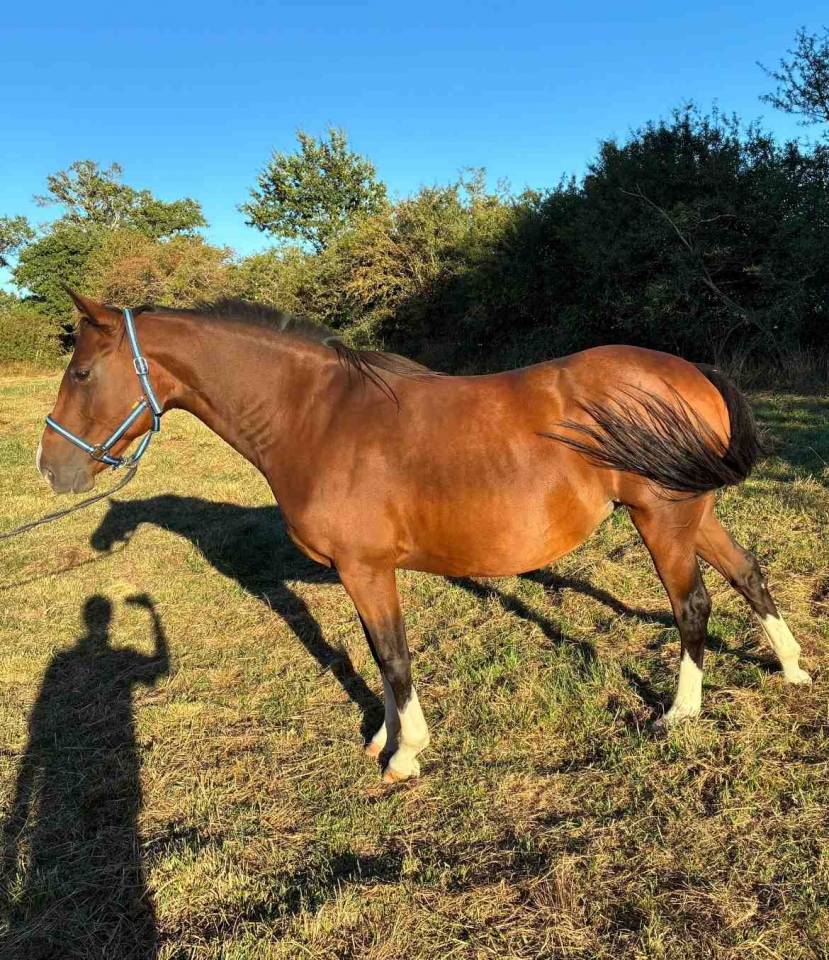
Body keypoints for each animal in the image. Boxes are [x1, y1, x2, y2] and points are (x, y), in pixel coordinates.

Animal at [36, 289, 811, 782]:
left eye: (82, 372)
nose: (51, 468)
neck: (320, 418)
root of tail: (687, 371)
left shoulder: (366, 568)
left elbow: (392, 656)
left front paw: (404, 754)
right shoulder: (361, 573)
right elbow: (379, 661)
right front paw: (381, 737)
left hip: (665, 519)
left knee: (692, 606)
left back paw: (679, 712)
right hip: (695, 514)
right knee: (747, 573)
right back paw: (793, 667)